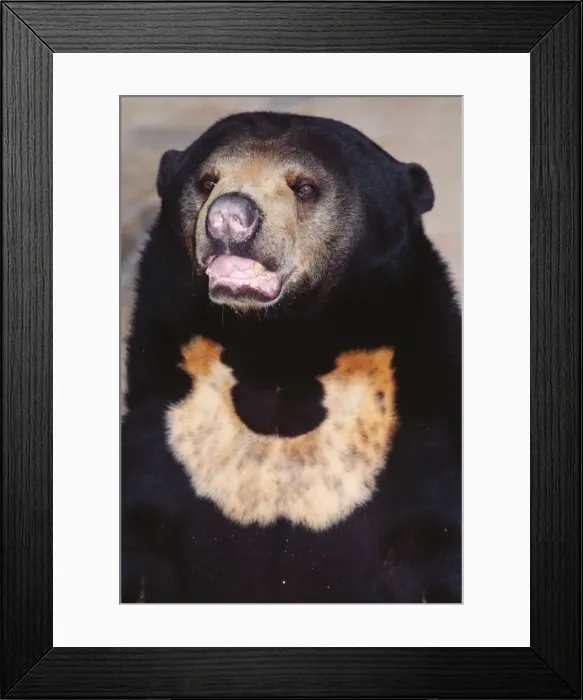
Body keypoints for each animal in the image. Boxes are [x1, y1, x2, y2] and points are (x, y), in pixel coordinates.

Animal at [121, 111, 461, 604]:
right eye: (207, 181)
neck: (278, 350)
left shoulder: (414, 439)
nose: (229, 218)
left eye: (304, 187)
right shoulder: (167, 431)